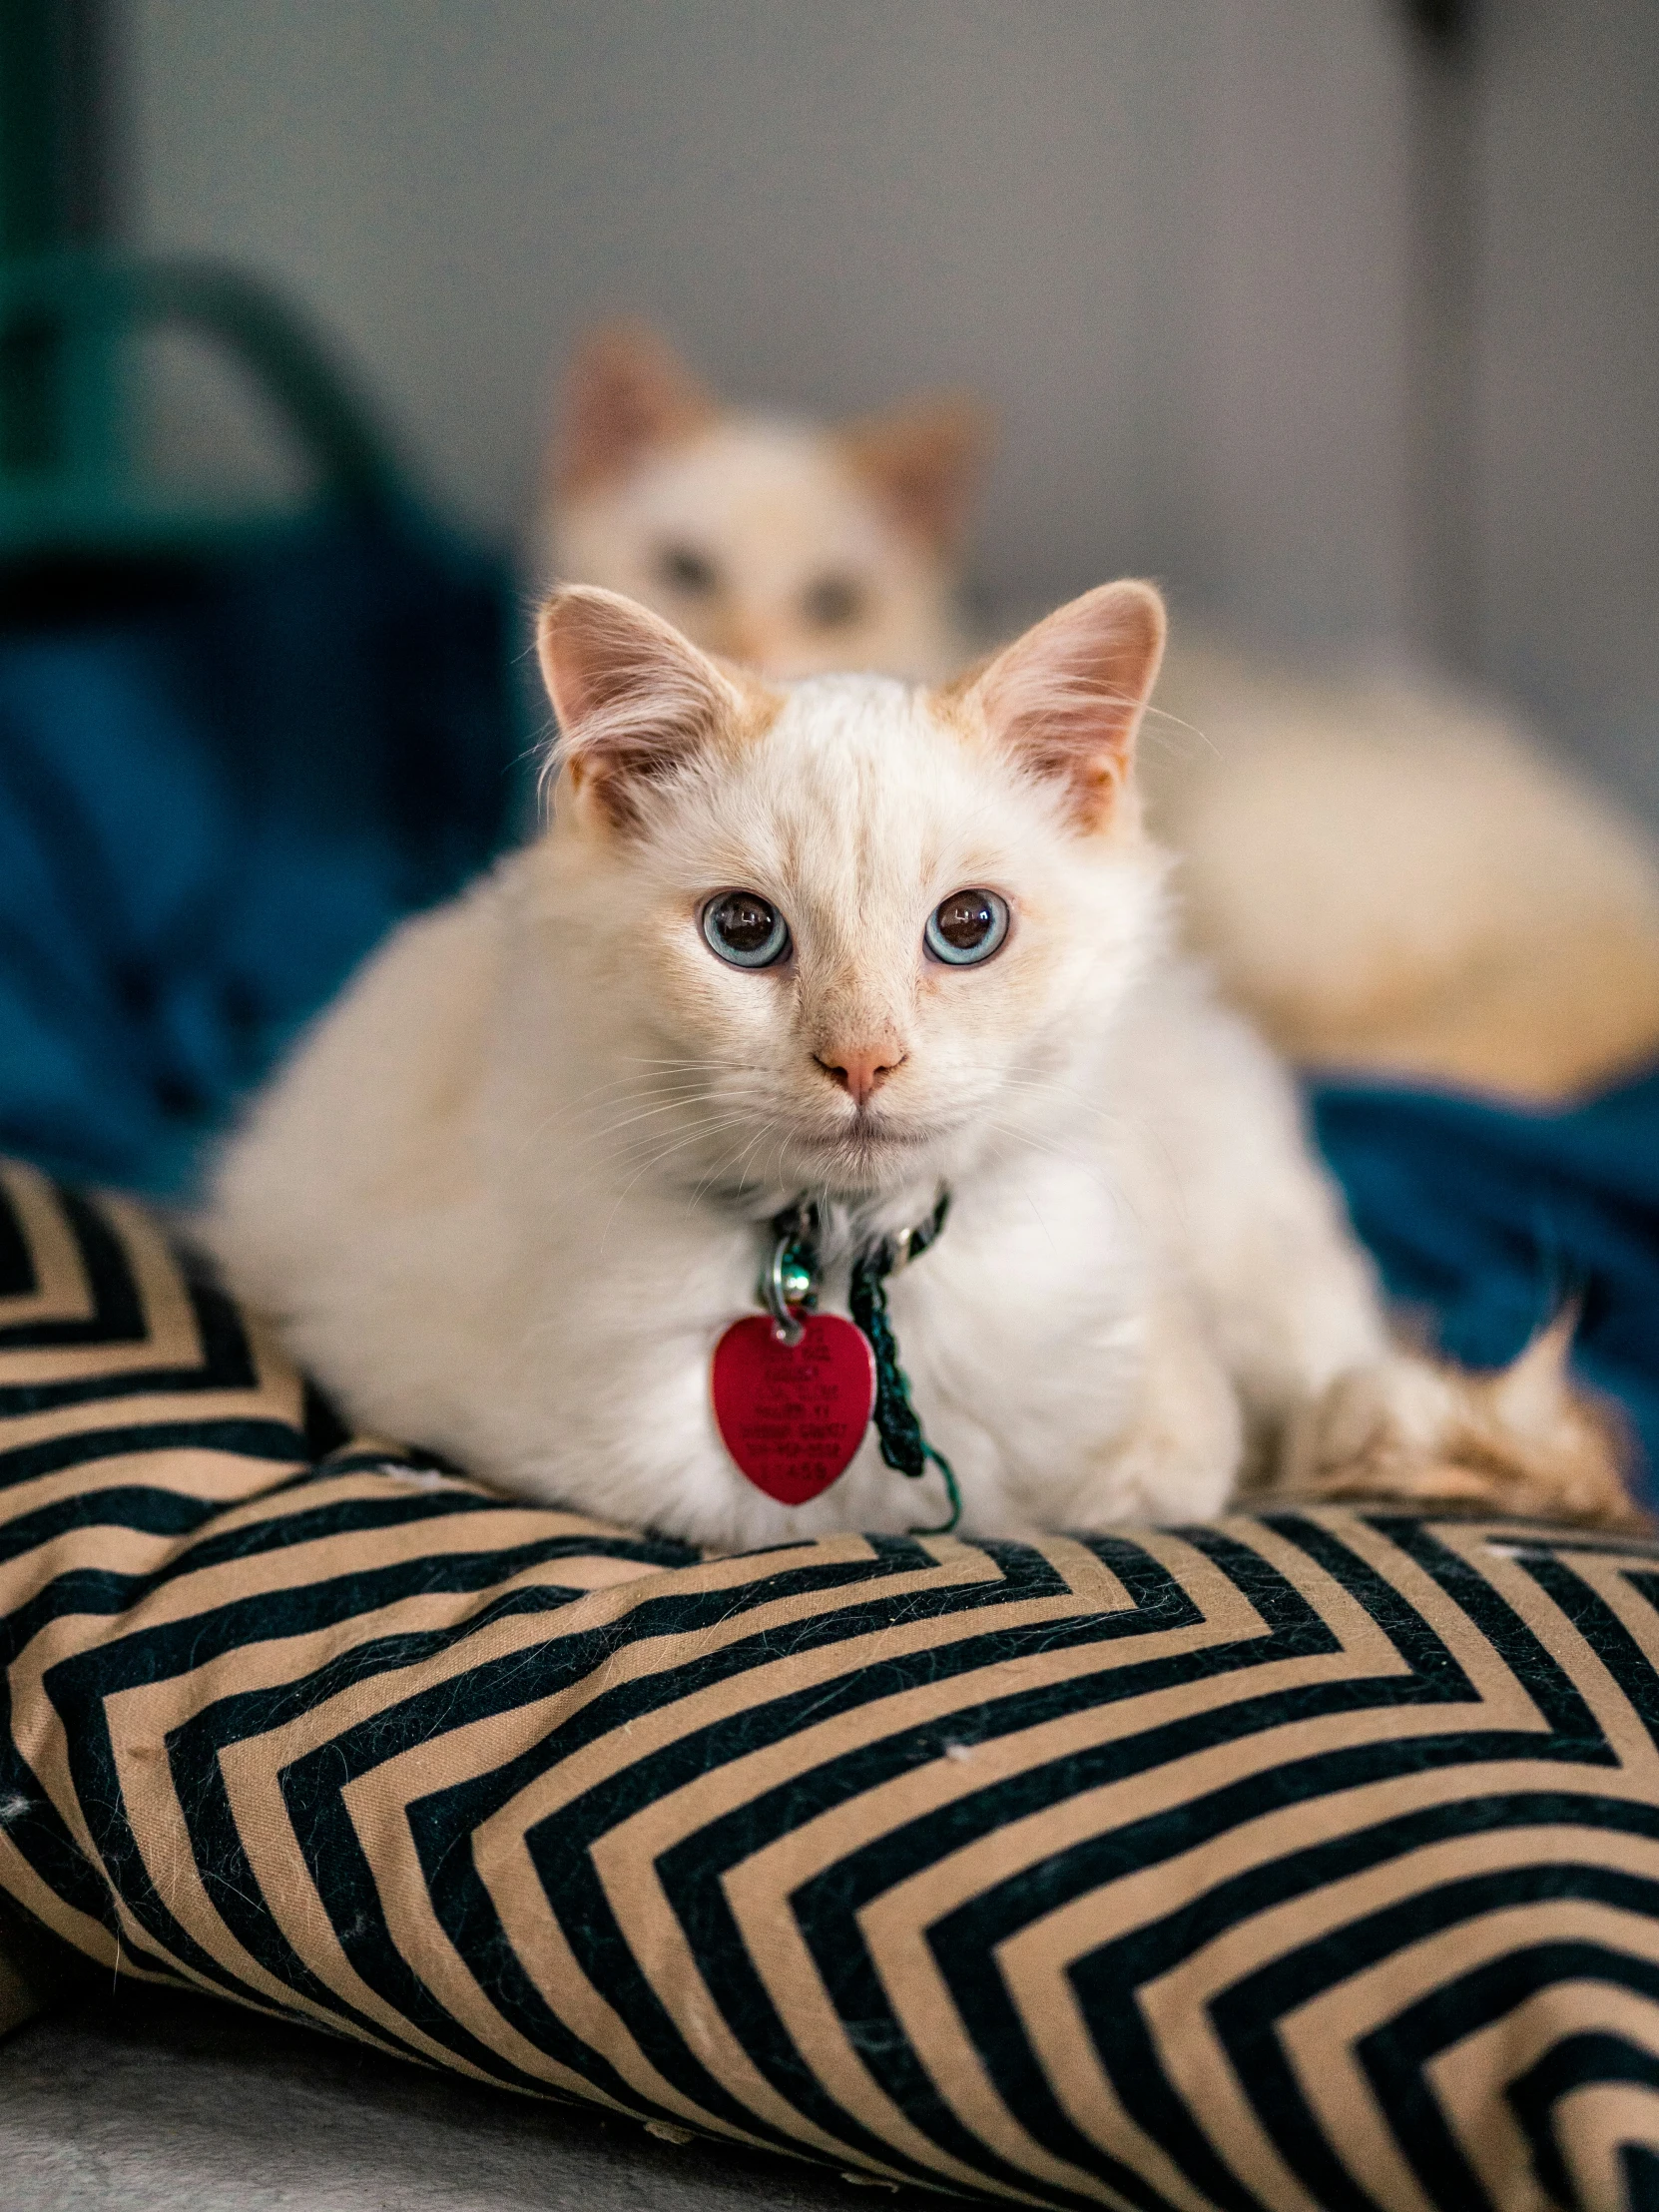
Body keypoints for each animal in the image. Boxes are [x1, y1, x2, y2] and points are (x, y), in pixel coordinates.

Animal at [208, 579, 1636, 1548]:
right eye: (744, 932)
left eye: (968, 928)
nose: (863, 1063)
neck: (844, 1260)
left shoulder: (1169, 1417)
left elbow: (1147, 1481)